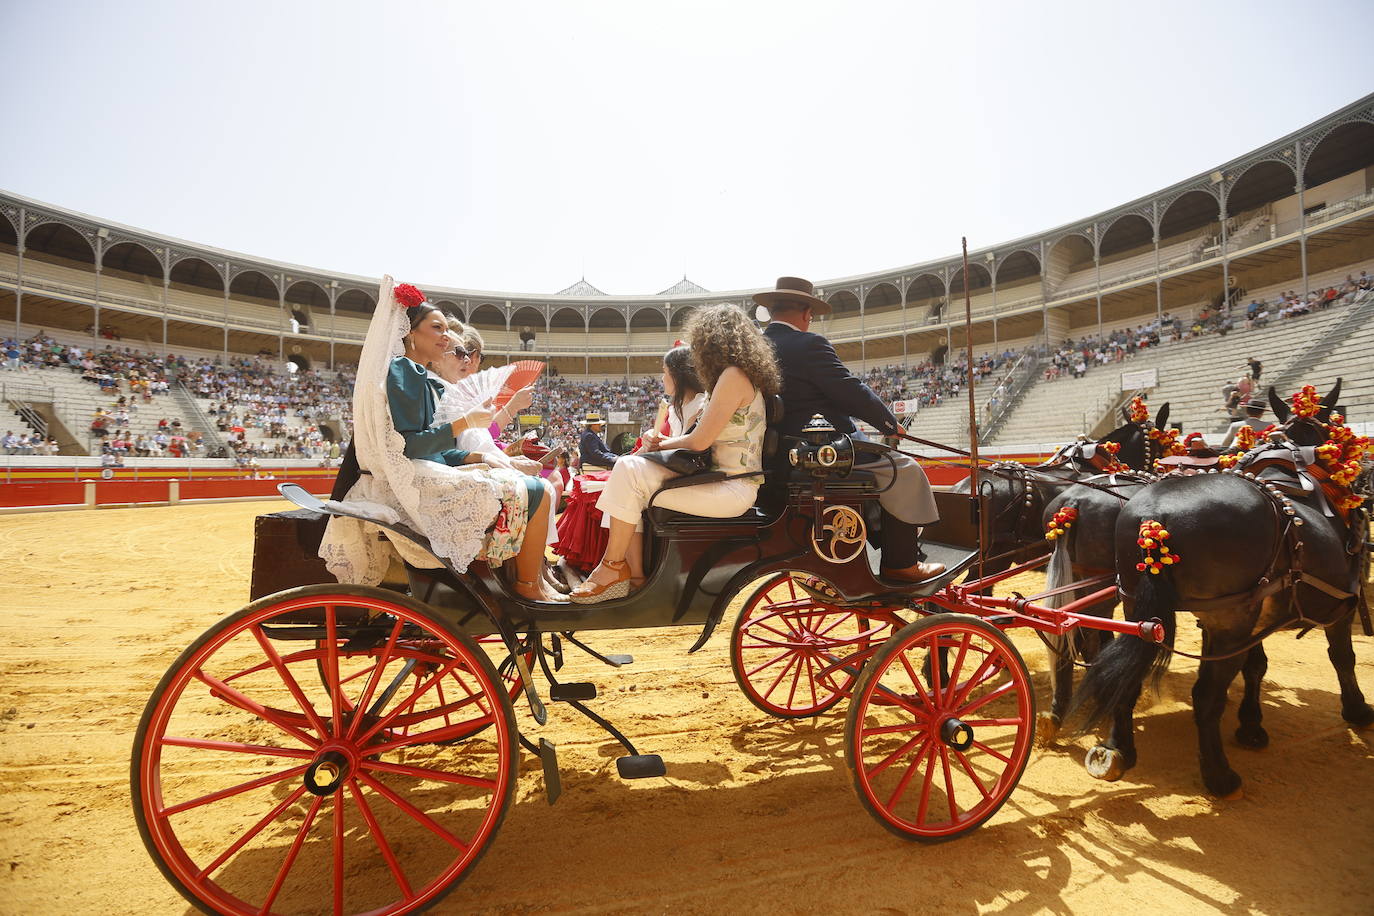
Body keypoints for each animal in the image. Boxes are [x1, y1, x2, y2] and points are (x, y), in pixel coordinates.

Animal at [1071, 379, 1374, 796]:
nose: (1364, 478)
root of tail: (1154, 519)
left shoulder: (1257, 609)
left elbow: (1256, 666)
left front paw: (1251, 725)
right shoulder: (1339, 605)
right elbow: (1342, 657)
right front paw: (1357, 709)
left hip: (1141, 611)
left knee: (1125, 674)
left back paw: (1117, 749)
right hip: (1229, 622)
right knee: (1205, 697)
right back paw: (1218, 775)